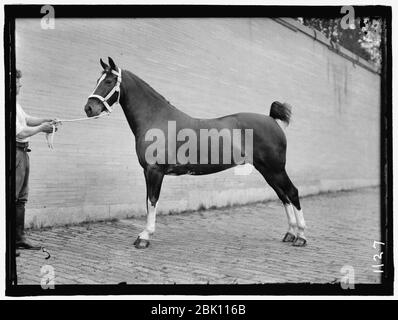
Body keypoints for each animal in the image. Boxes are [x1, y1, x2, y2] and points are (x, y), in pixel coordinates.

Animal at [84, 56, 308, 249]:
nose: (89, 108)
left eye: (110, 81)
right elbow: (148, 201)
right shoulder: (148, 172)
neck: (156, 118)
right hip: (267, 171)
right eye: (97, 80)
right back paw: (290, 234)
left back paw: (301, 237)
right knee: (283, 195)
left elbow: (152, 201)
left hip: (275, 169)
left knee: (292, 192)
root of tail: (272, 120)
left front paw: (145, 237)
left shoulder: (154, 171)